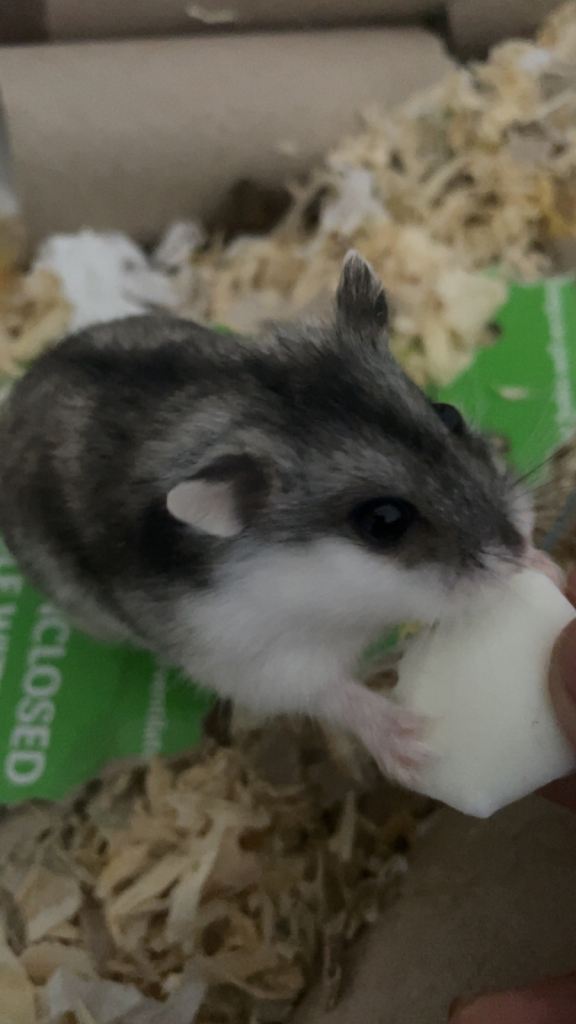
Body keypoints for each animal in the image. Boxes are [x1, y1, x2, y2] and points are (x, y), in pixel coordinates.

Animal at [0, 253, 536, 785]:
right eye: (384, 523)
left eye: (448, 415)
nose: (518, 554)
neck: (328, 599)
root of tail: (24, 384)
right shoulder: (252, 657)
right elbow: (325, 691)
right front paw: (410, 742)